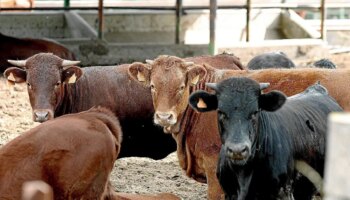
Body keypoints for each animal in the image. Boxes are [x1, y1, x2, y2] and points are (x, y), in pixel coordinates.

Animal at [189, 77, 342, 200]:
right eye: (221, 112)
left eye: (255, 112)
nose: (238, 150)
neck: (244, 173)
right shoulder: (229, 193)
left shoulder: (283, 192)